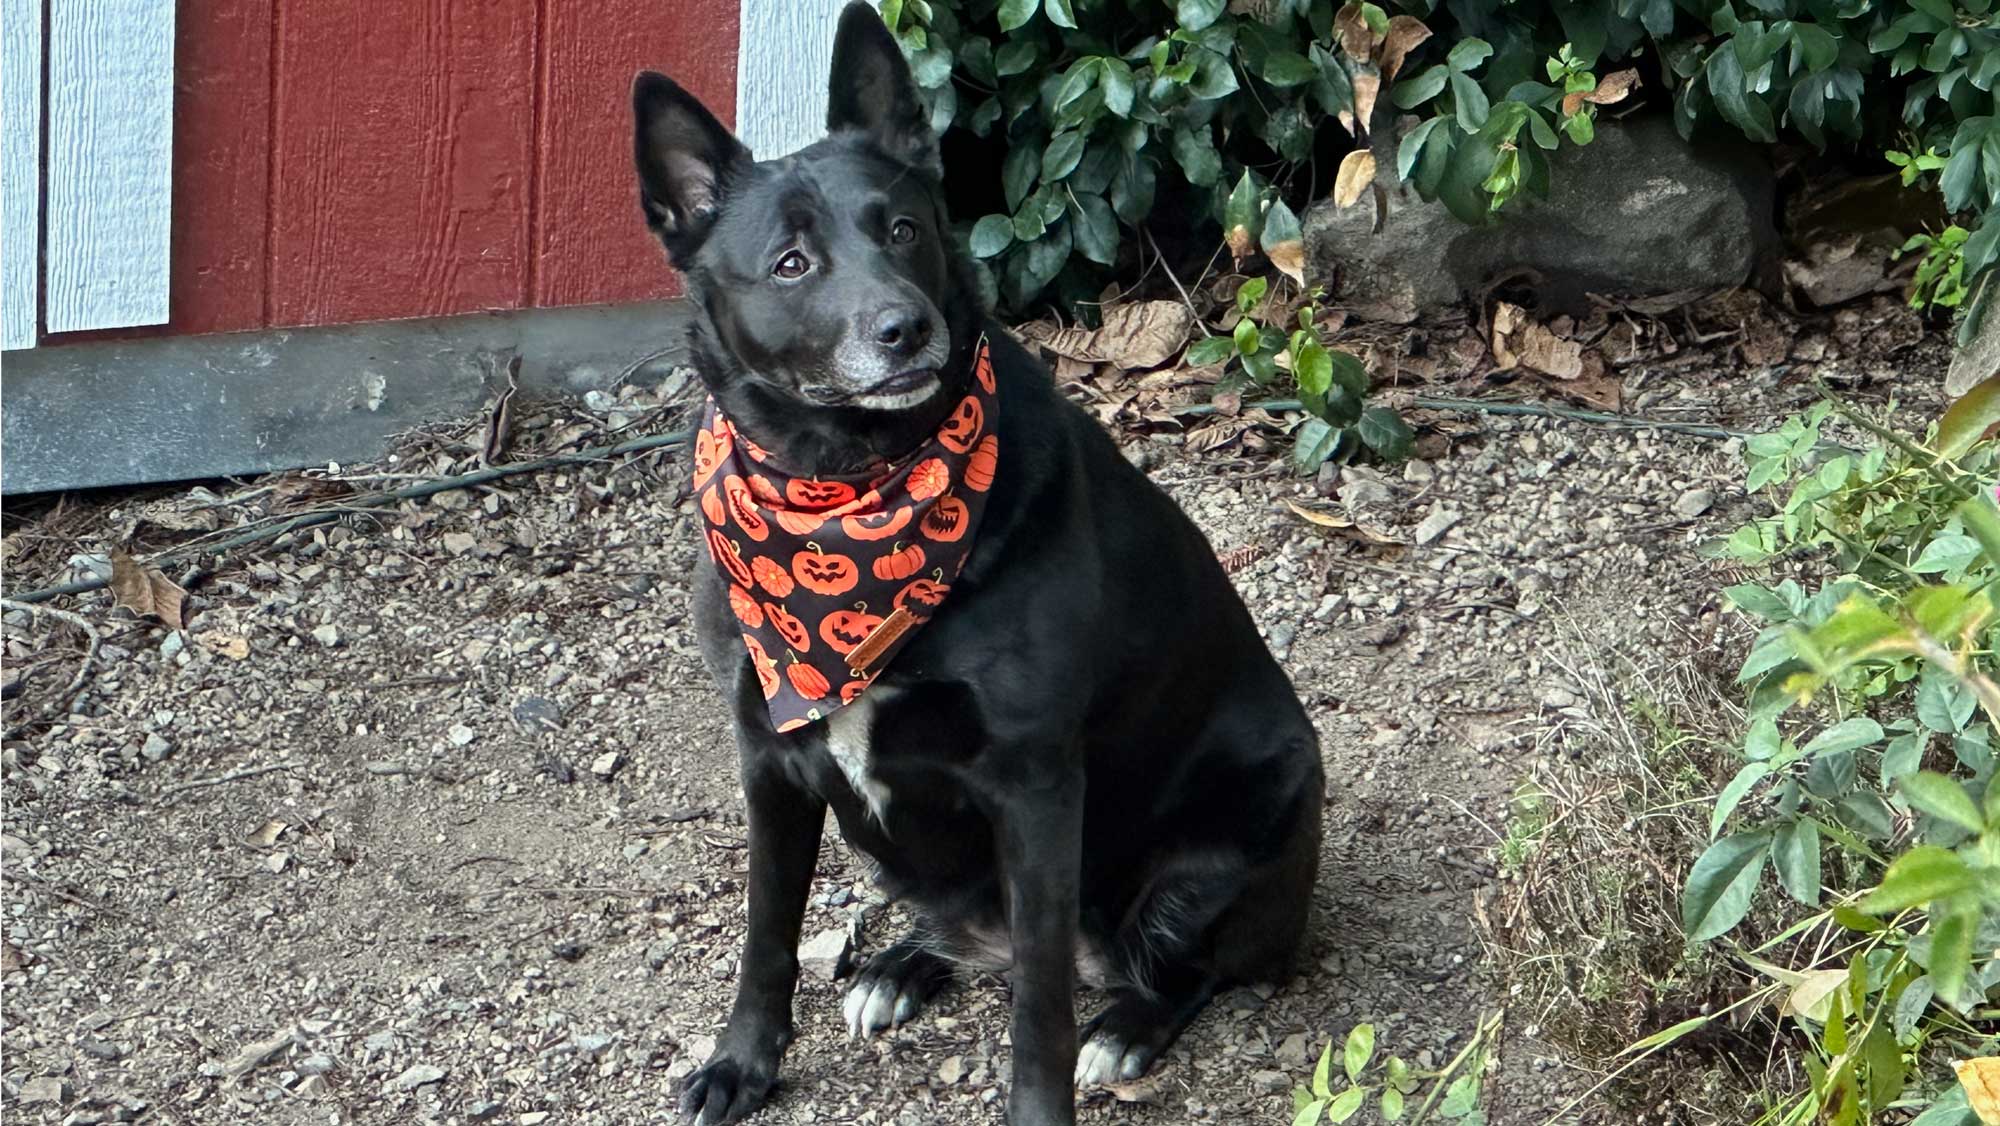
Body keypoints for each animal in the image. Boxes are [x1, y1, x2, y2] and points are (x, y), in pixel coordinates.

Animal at [640, 11, 1320, 1126]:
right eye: (790, 263)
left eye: (903, 229)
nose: (904, 328)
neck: (851, 487)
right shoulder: (768, 757)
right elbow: (765, 935)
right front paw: (742, 1063)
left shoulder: (1035, 786)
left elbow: (1039, 1000)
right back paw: (902, 963)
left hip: (1220, 850)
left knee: (1177, 971)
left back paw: (1125, 1027)